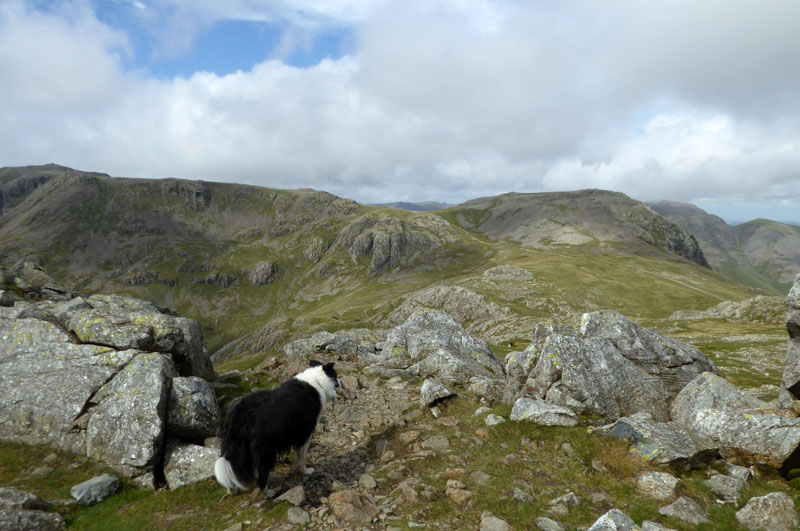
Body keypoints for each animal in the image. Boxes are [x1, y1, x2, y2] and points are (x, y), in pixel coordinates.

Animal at [214, 362, 340, 494]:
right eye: (336, 375)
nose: (340, 382)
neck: (317, 380)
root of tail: (241, 416)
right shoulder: (305, 433)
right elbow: (302, 454)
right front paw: (305, 471)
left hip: (236, 446)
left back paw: (231, 489)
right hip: (265, 449)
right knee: (262, 473)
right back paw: (268, 492)